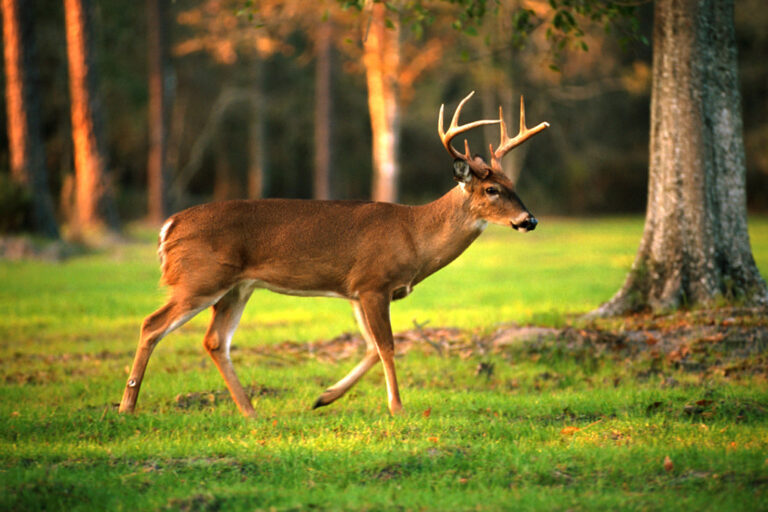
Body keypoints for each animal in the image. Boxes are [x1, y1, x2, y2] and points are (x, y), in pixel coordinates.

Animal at [120, 92, 544, 418]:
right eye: (491, 190)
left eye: (513, 183)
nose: (530, 219)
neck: (414, 235)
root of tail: (168, 226)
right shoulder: (374, 283)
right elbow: (388, 346)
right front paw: (398, 408)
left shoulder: (356, 290)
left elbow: (371, 347)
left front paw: (323, 397)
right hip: (201, 278)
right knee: (152, 324)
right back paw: (127, 406)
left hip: (237, 287)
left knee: (214, 341)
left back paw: (251, 411)